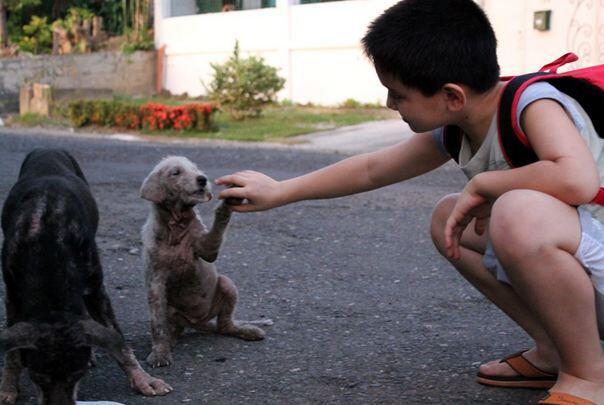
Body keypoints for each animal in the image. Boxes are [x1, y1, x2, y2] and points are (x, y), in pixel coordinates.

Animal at [0, 149, 172, 404]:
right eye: (37, 377)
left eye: (77, 375)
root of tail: (48, 148)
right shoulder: (13, 294)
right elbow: (12, 352)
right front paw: (8, 387)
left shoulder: (96, 288)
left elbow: (119, 343)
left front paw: (143, 379)